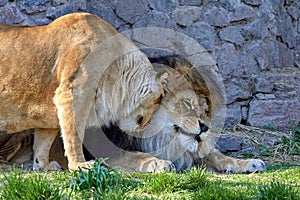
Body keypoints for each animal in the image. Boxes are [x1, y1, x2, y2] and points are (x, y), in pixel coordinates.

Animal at [0, 12, 169, 170]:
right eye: (160, 98)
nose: (147, 125)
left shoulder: (49, 110)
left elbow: (43, 141)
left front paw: (43, 166)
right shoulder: (73, 94)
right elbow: (73, 135)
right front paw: (79, 165)